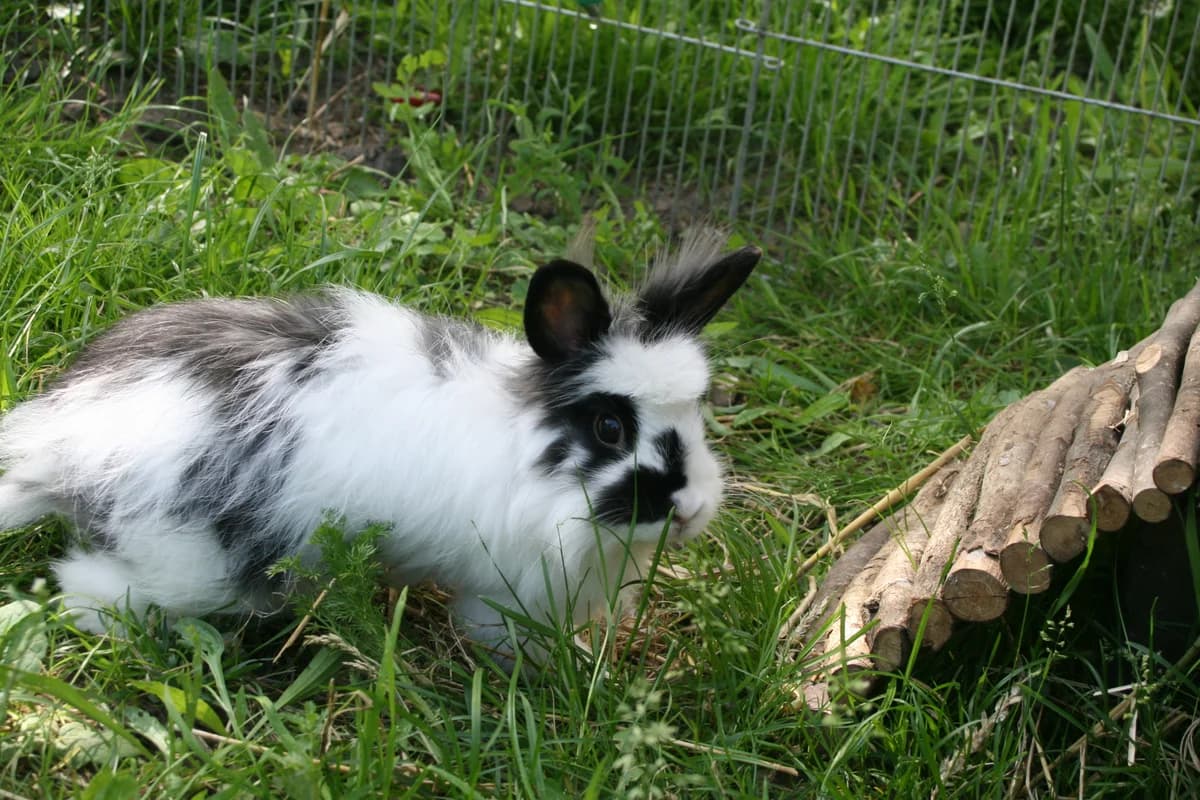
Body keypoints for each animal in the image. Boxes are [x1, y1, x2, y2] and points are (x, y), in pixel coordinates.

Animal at [0, 227, 761, 656]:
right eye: (609, 428)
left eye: (699, 409)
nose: (691, 509)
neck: (526, 453)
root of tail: (62, 442)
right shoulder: (508, 586)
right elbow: (497, 633)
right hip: (188, 559)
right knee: (89, 586)